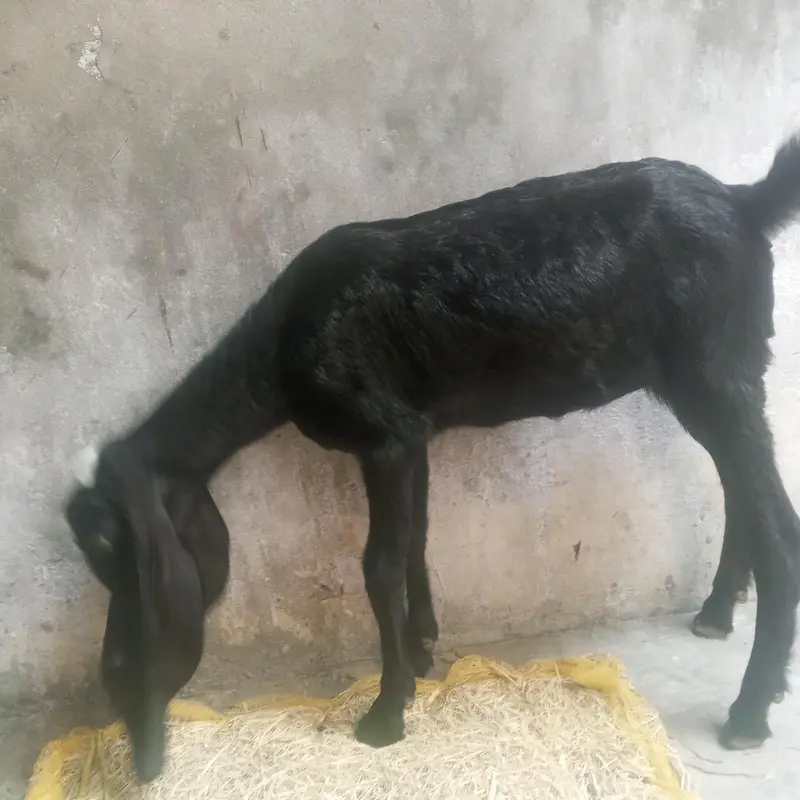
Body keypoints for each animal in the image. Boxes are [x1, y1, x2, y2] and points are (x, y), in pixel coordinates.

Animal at [65, 134, 800, 782]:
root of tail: (746, 202)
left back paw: (750, 708)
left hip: (714, 370)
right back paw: (717, 613)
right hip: (715, 376)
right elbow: (416, 537)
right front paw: (419, 647)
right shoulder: (413, 432)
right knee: (743, 492)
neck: (278, 353)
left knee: (780, 528)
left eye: (106, 541)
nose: (143, 757)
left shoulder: (382, 433)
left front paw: (386, 712)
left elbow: (379, 565)